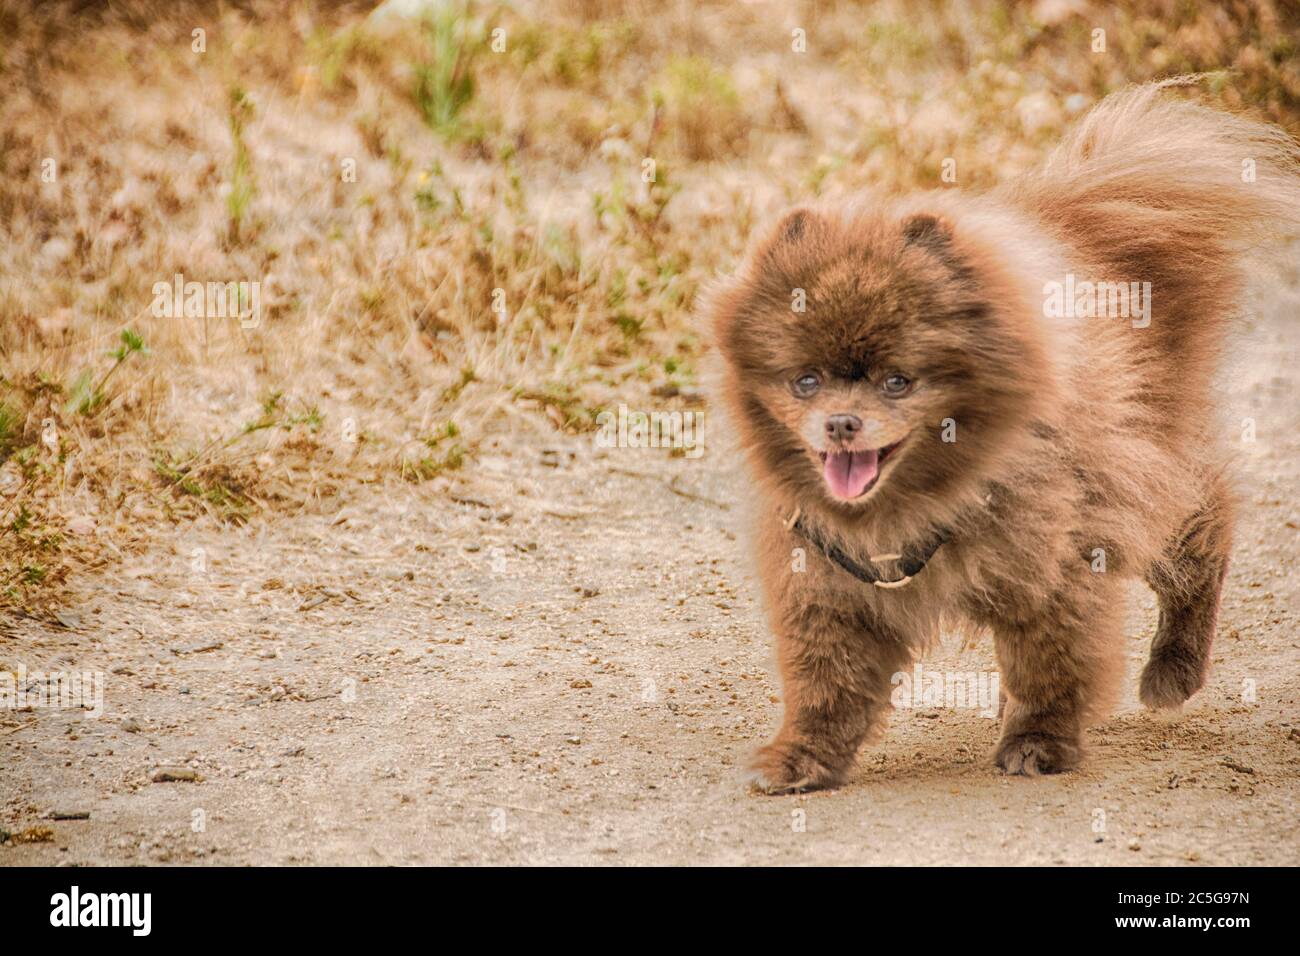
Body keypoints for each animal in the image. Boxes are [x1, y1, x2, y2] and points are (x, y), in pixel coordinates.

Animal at [712, 80, 1300, 790]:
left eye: (897, 381)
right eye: (805, 380)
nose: (842, 422)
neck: (911, 505)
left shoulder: (1056, 564)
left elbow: (1052, 663)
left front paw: (1040, 744)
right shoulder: (825, 584)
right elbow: (827, 684)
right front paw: (802, 758)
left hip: (1148, 469)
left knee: (1204, 532)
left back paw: (1172, 670)